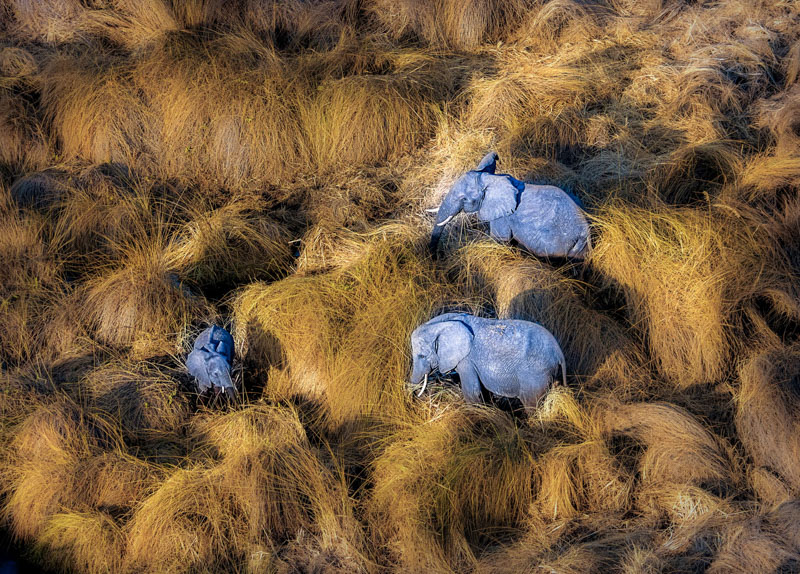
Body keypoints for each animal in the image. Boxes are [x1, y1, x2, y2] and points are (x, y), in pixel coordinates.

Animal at [409, 313, 566, 410]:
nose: (416, 396)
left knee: (532, 404)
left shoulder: (466, 360)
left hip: (536, 374)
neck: (441, 324)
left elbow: (472, 392)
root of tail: (559, 353)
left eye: (421, 356)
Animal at [429, 152, 591, 259]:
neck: (491, 178)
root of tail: (586, 230)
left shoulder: (503, 217)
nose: (436, 258)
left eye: (464, 199)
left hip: (560, 243)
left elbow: (500, 239)